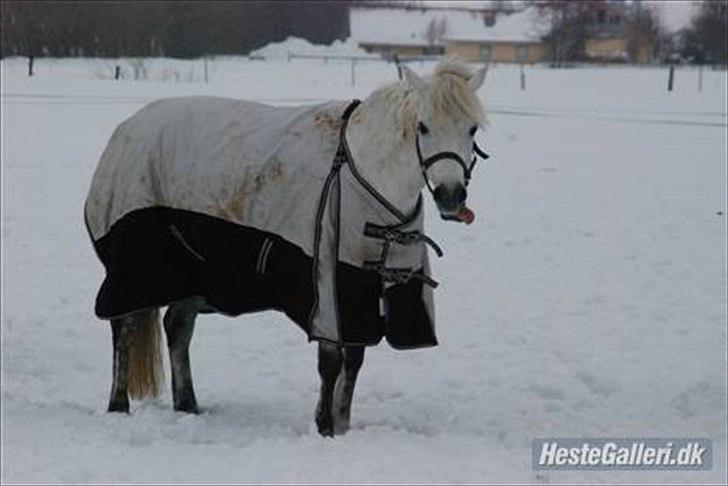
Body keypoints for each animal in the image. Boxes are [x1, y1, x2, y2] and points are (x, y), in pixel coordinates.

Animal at [84, 58, 484, 434]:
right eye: (423, 127)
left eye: (472, 129)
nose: (451, 197)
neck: (362, 172)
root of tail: (127, 129)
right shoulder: (326, 282)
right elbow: (330, 361)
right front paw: (324, 426)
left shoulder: (359, 281)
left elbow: (354, 359)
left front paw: (343, 423)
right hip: (136, 266)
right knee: (124, 329)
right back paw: (118, 404)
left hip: (192, 269)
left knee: (177, 328)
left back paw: (188, 405)